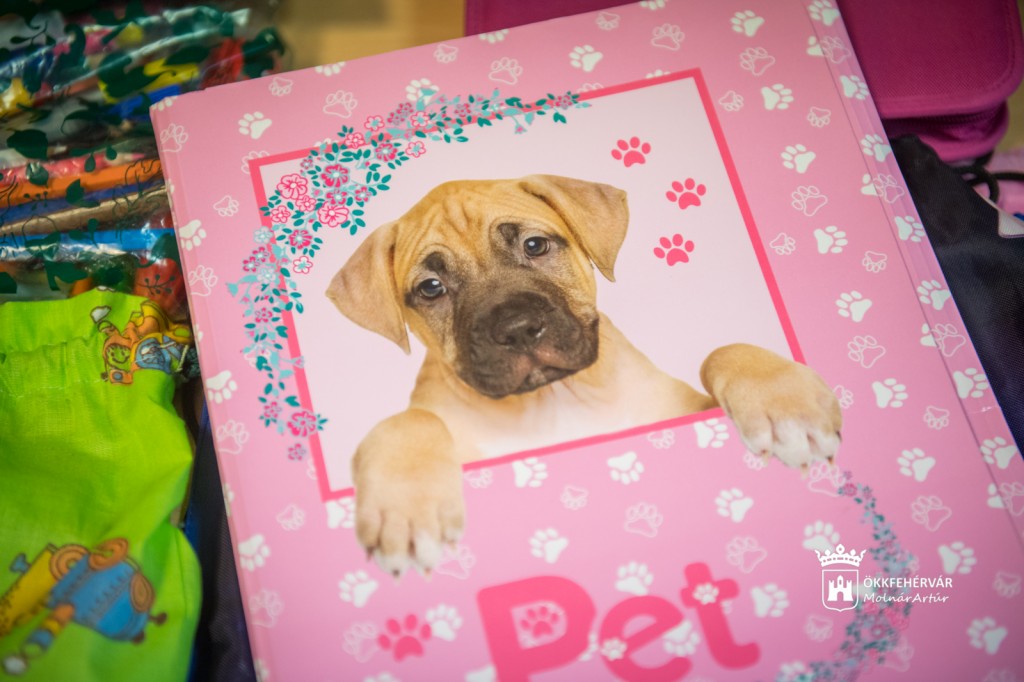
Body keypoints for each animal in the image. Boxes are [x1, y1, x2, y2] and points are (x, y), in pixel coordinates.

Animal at [327, 174, 841, 575]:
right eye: (431, 288)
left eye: (535, 245)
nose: (517, 329)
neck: (553, 401)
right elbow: (411, 419)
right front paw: (405, 507)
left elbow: (721, 350)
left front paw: (784, 401)